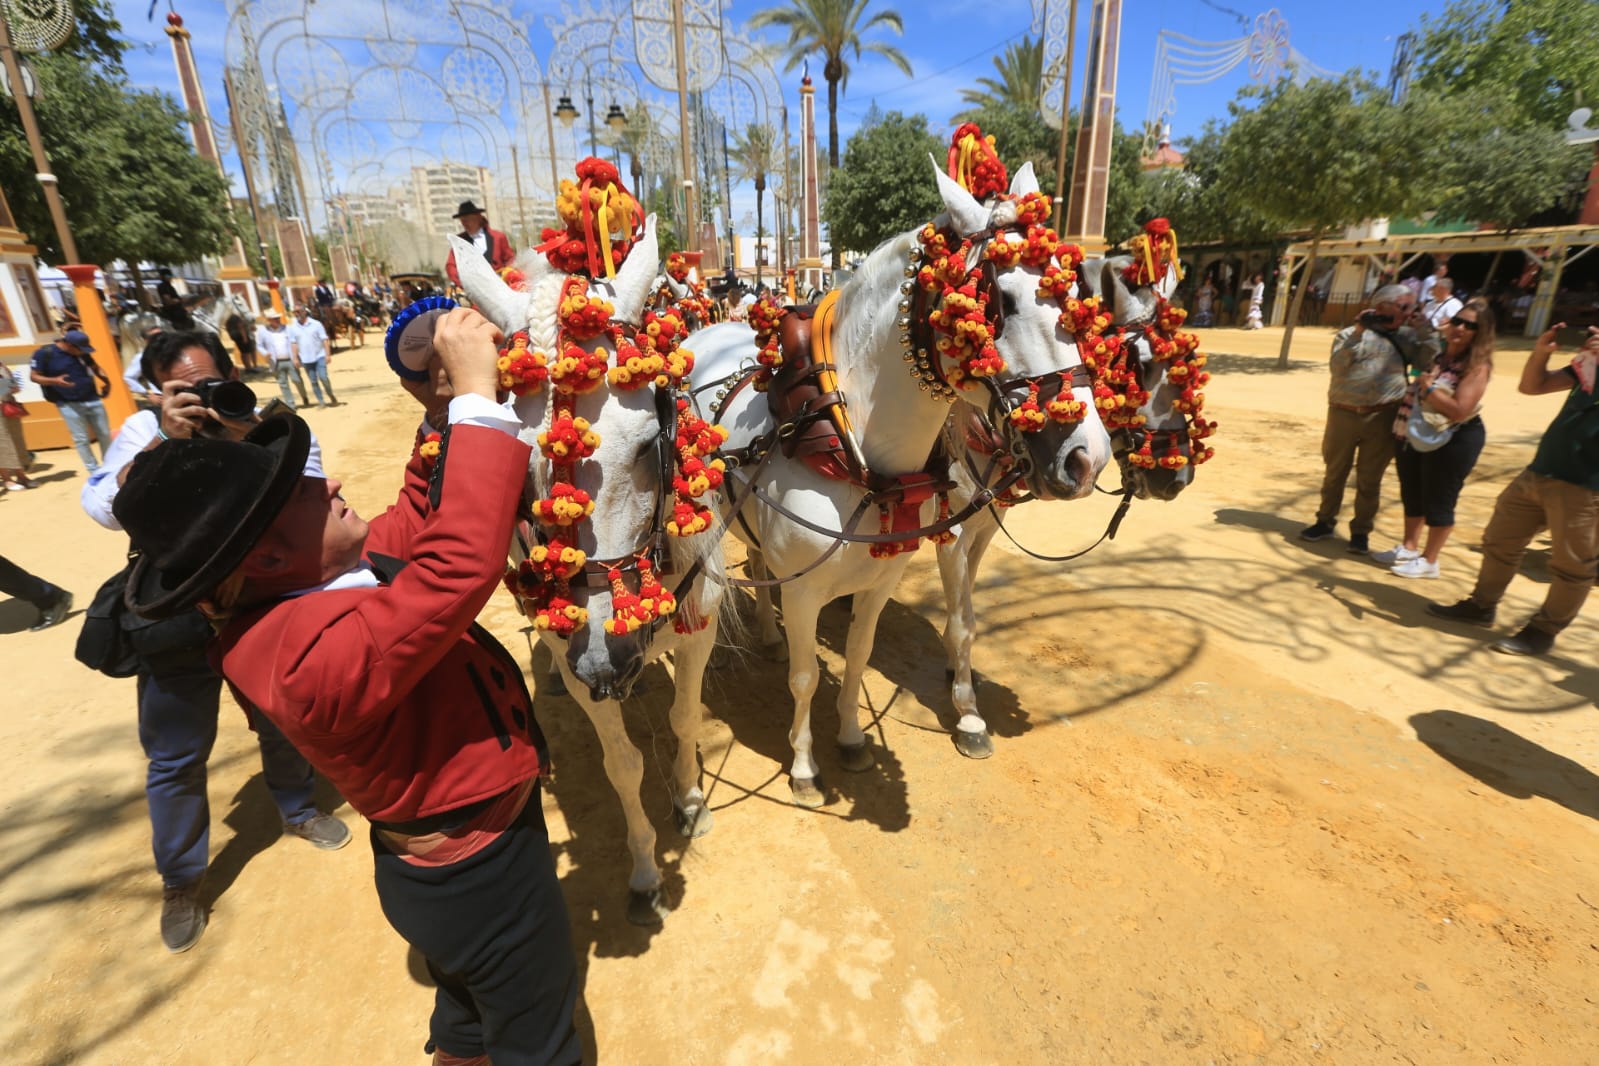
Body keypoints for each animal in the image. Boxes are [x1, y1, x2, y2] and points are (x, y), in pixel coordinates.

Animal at [447, 168, 729, 926]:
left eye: (651, 443)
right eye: (512, 468)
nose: (609, 658)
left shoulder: (697, 627)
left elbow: (685, 716)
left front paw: (691, 802)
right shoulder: (584, 665)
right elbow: (622, 765)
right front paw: (644, 873)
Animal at [687, 129, 1112, 805]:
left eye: (1074, 296)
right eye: (999, 301)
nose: (1087, 455)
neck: (851, 445)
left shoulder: (884, 580)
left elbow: (862, 657)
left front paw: (851, 740)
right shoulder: (807, 590)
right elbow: (807, 678)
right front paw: (804, 767)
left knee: (756, 562)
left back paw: (768, 636)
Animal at [933, 239, 1208, 757]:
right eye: (1139, 365)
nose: (1178, 476)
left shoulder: (982, 528)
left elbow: (969, 610)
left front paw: (956, 666)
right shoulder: (951, 533)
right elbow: (961, 620)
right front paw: (969, 716)